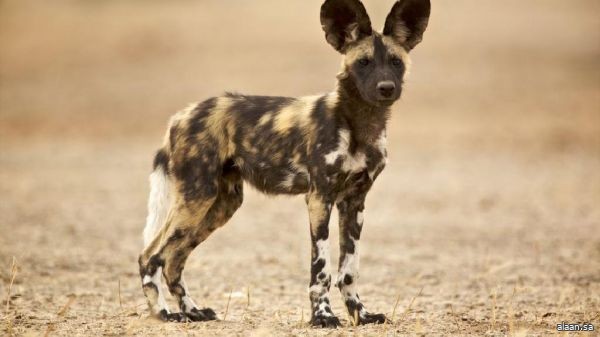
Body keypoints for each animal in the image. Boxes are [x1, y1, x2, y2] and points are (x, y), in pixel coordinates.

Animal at [139, 0, 432, 326]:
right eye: (364, 63)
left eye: (395, 62)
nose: (386, 87)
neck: (361, 124)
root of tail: (181, 115)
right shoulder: (319, 198)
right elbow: (321, 271)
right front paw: (323, 316)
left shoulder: (354, 203)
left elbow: (349, 271)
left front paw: (361, 314)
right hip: (196, 199)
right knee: (151, 257)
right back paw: (164, 313)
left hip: (220, 206)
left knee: (173, 260)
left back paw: (192, 311)